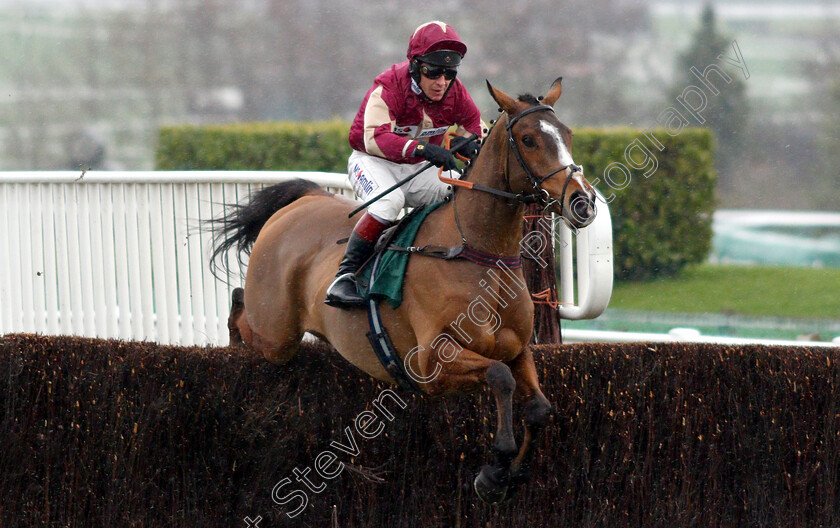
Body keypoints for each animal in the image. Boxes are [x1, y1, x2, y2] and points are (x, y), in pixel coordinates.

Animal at [212, 77, 596, 504]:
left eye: (567, 134)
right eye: (529, 140)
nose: (583, 202)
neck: (476, 249)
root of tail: (304, 201)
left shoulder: (517, 349)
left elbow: (540, 409)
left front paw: (514, 473)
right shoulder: (433, 363)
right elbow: (500, 378)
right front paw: (495, 469)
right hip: (276, 334)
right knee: (241, 311)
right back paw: (232, 345)